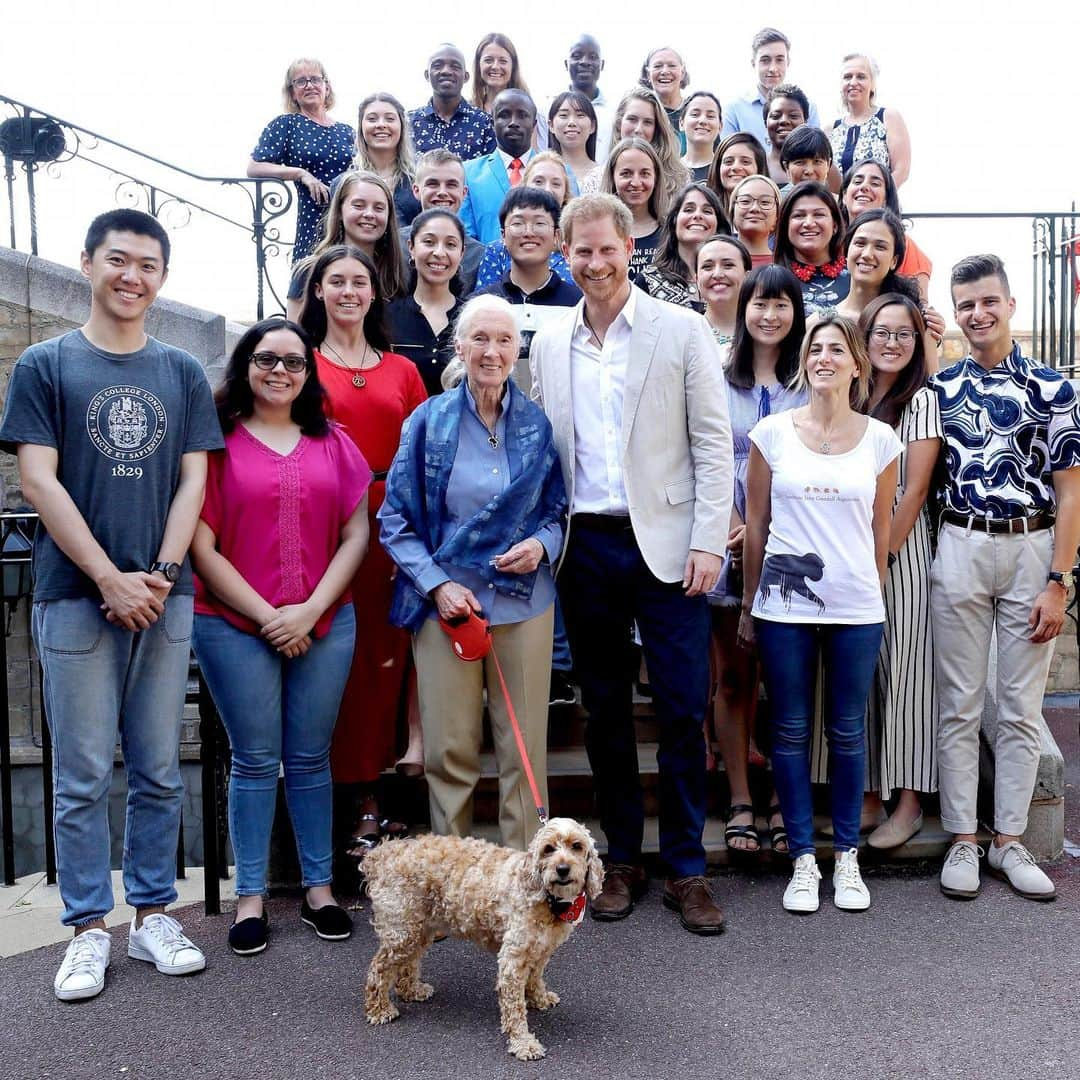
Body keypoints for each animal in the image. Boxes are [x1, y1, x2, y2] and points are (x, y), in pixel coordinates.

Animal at [360, 820, 600, 1058]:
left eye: (577, 846)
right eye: (548, 849)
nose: (562, 869)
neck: (547, 899)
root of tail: (385, 853)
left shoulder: (540, 951)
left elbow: (534, 978)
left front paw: (539, 998)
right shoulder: (512, 959)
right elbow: (514, 1008)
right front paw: (523, 1043)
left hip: (418, 929)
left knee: (407, 964)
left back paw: (411, 990)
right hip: (402, 931)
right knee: (378, 968)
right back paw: (379, 1009)